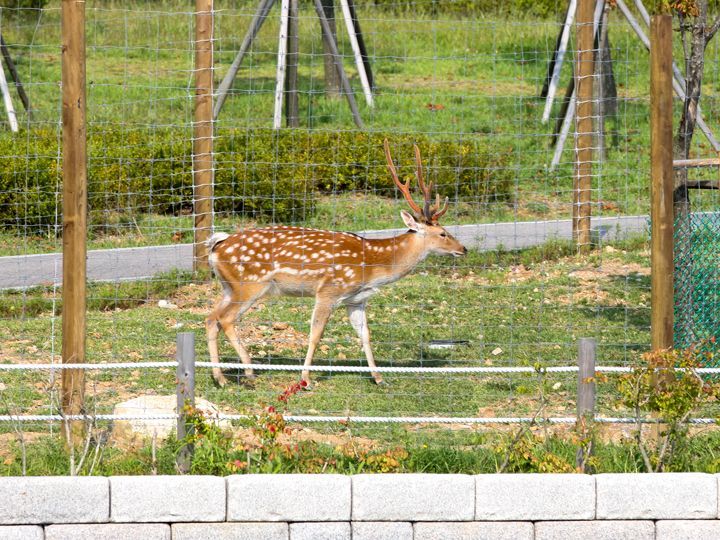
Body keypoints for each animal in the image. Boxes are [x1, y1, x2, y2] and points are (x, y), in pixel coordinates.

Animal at [205, 139, 467, 388]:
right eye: (443, 233)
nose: (463, 249)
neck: (373, 266)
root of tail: (216, 246)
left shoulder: (356, 299)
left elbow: (365, 335)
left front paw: (379, 378)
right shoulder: (329, 290)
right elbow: (316, 333)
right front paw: (306, 380)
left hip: (230, 287)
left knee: (211, 318)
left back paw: (220, 377)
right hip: (250, 284)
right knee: (226, 319)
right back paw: (249, 371)